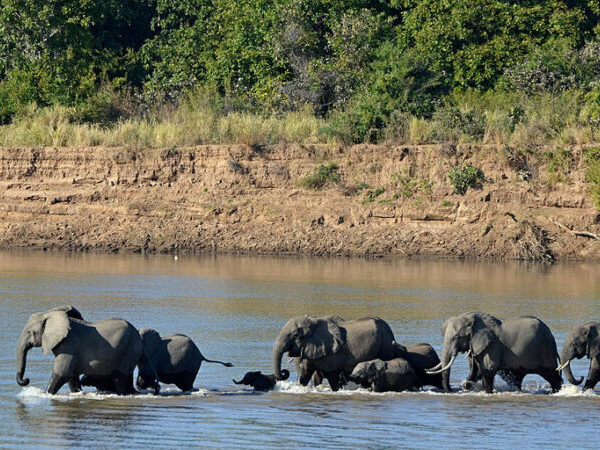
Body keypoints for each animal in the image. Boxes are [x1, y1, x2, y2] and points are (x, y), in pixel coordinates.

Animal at [16, 306, 150, 394]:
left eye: (29, 332)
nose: (26, 380)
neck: (50, 314)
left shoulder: (69, 345)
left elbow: (62, 373)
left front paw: (46, 394)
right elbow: (71, 377)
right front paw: (77, 393)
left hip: (130, 350)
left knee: (119, 378)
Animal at [426, 312, 564, 392]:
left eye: (457, 337)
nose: (451, 390)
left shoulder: (492, 348)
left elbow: (487, 371)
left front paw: (486, 392)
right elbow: (476, 372)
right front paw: (467, 384)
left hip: (545, 352)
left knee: (552, 376)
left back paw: (556, 391)